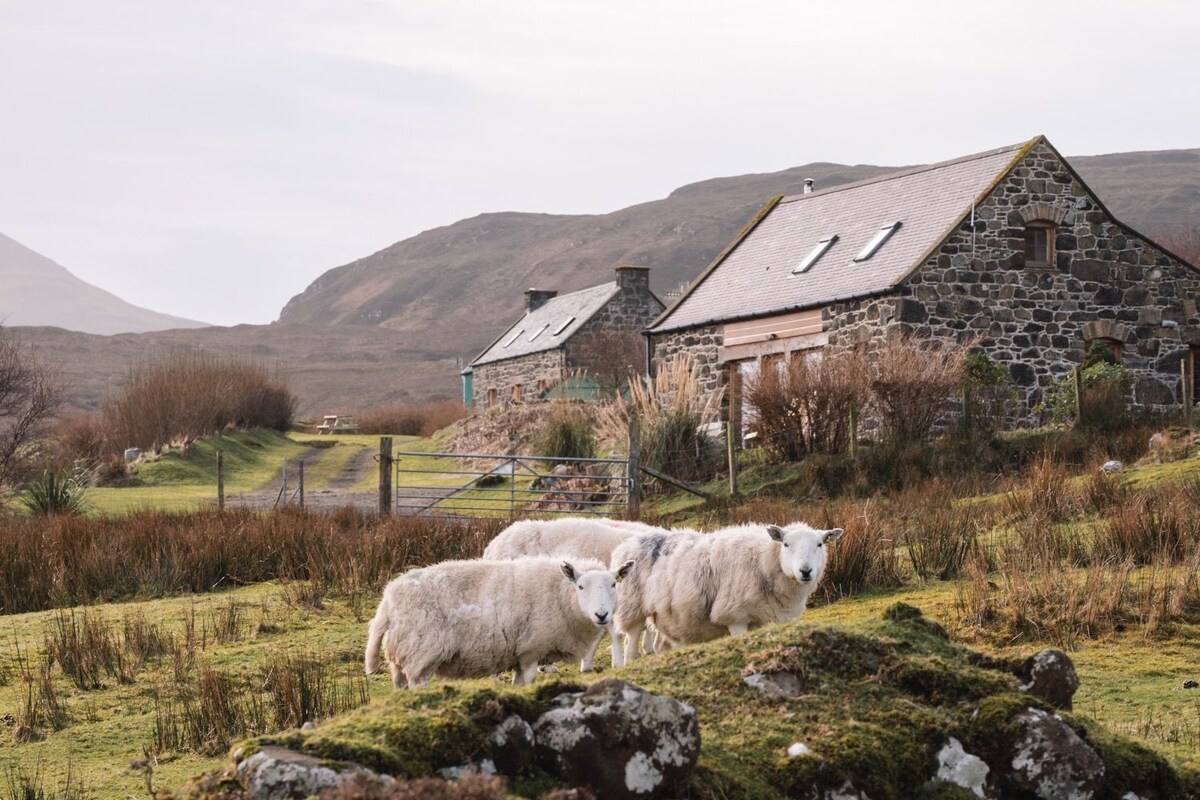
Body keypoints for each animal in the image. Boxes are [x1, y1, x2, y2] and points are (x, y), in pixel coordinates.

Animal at [364, 556, 638, 690]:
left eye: (614, 584)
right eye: (580, 586)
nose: (602, 615)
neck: (562, 596)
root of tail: (388, 599)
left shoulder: (520, 655)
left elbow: (518, 682)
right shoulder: (531, 649)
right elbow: (528, 680)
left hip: (401, 652)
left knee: (399, 684)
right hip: (421, 651)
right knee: (417, 683)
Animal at [609, 520, 844, 662]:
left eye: (820, 544)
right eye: (786, 544)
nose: (806, 571)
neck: (764, 560)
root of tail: (627, 543)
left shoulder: (776, 618)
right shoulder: (735, 616)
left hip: (666, 614)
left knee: (661, 644)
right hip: (633, 608)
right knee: (631, 645)